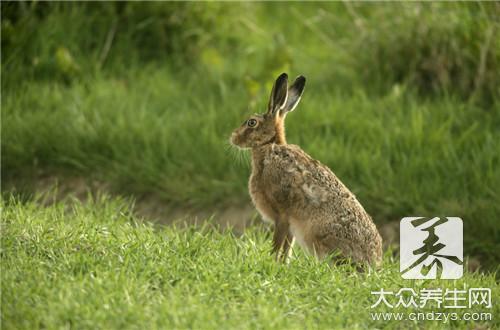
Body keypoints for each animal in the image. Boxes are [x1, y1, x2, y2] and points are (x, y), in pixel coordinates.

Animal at [230, 73, 382, 266]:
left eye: (251, 122)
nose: (233, 138)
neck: (269, 145)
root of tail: (373, 263)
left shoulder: (282, 215)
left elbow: (277, 244)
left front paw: (272, 263)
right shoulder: (291, 224)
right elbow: (287, 247)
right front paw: (283, 265)